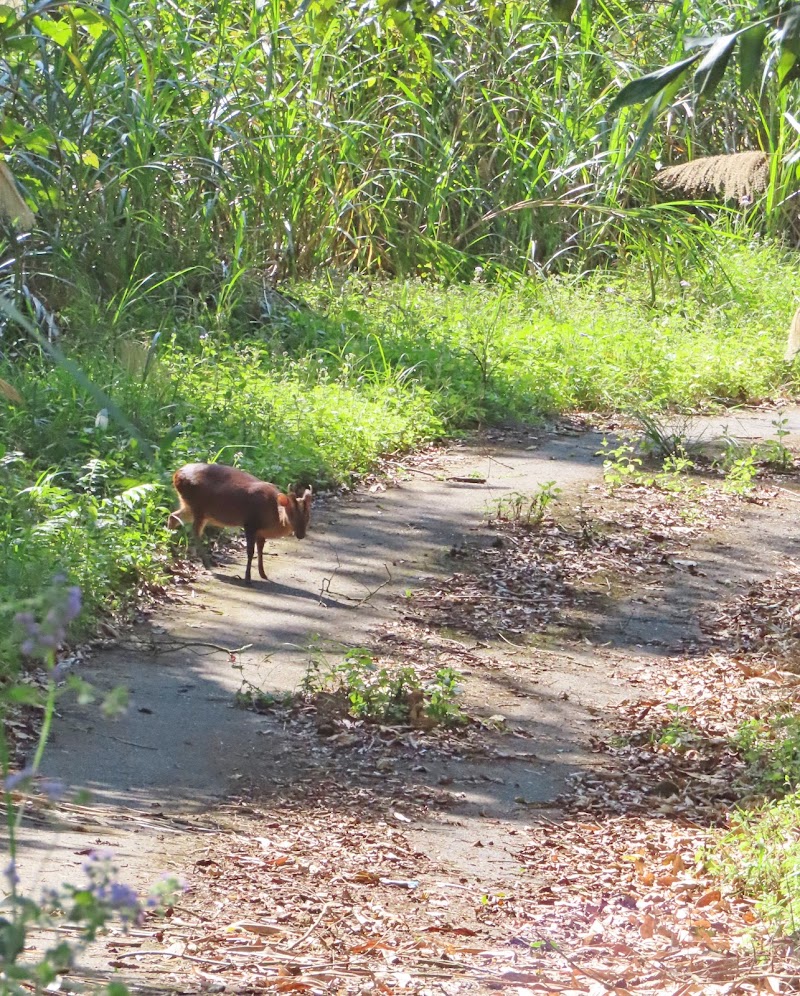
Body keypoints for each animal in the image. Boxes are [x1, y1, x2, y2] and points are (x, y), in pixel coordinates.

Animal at [168, 462, 312, 584]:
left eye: (307, 515)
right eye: (291, 513)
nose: (300, 535)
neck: (273, 516)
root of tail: (176, 474)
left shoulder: (260, 532)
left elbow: (260, 550)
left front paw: (263, 574)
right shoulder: (250, 523)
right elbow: (250, 552)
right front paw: (248, 578)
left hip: (191, 506)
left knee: (173, 517)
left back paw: (172, 549)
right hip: (198, 506)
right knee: (194, 531)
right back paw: (207, 564)